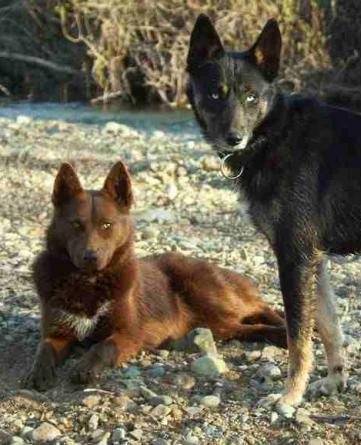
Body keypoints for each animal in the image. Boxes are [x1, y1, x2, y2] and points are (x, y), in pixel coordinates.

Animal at [24, 161, 286, 390]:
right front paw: (38, 372)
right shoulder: (56, 333)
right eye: (76, 225)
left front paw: (85, 368)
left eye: (106, 225)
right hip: (214, 324)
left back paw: (284, 330)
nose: (91, 257)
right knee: (244, 327)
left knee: (259, 307)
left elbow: (100, 348)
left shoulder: (127, 334)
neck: (88, 281)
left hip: (205, 292)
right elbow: (43, 350)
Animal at [186, 13, 360, 410]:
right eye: (215, 93)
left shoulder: (294, 257)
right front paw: (333, 380)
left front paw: (289, 396)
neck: (274, 133)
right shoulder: (314, 260)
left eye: (251, 96)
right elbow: (328, 326)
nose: (234, 138)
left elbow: (298, 337)